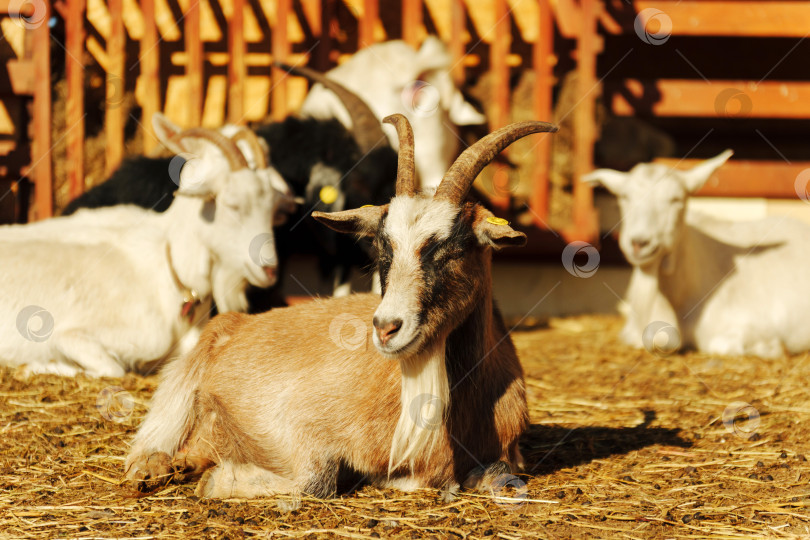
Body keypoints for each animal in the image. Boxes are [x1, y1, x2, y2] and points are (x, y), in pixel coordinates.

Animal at [0, 118, 282, 377]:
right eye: (233, 204)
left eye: (271, 207)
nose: (270, 271)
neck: (172, 273)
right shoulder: (72, 335)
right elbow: (113, 369)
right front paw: (43, 365)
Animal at [124, 115, 556, 500]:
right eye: (382, 249)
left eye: (452, 250)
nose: (386, 327)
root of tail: (231, 325)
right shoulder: (294, 423)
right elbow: (319, 477)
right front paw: (217, 482)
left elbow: (503, 479)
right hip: (181, 387)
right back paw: (155, 467)